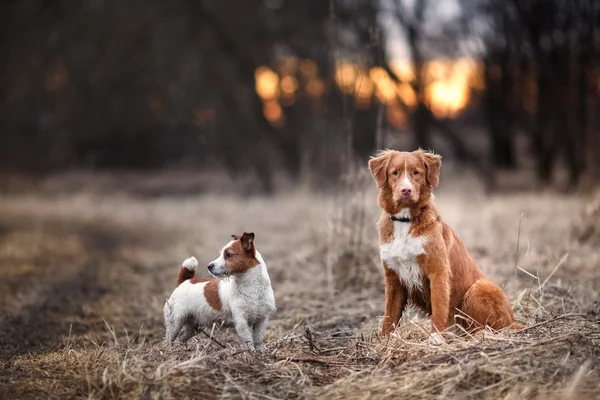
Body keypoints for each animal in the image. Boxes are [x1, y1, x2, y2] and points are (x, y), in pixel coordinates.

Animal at [368, 150, 524, 338]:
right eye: (395, 172)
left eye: (416, 172)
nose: (406, 190)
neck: (405, 220)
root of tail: (512, 320)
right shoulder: (393, 278)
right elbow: (389, 316)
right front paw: (385, 341)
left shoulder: (438, 272)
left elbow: (439, 309)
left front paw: (436, 339)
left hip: (480, 288)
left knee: (485, 327)